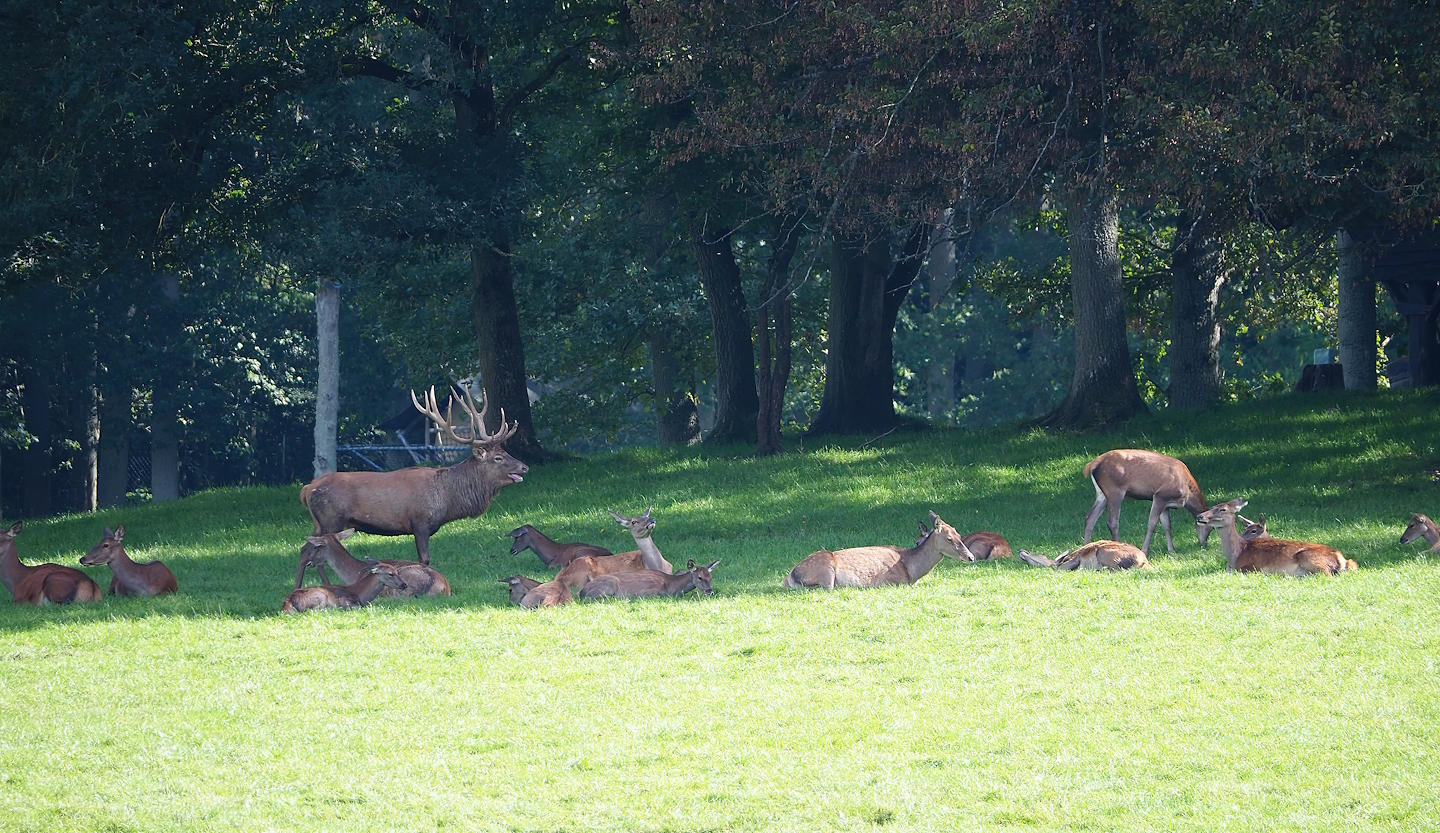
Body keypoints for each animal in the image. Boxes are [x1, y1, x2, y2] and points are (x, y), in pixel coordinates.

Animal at [300, 386, 528, 565]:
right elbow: (424, 559)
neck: (448, 499)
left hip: (319, 523)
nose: (524, 467)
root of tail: (307, 489)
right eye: (498, 458)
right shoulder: (420, 522)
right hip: (331, 519)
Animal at [578, 558, 720, 601]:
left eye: (710, 577)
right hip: (610, 583)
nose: (710, 591)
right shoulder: (647, 592)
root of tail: (581, 591)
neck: (670, 585)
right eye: (700, 577)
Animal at [784, 512, 976, 591]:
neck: (911, 571)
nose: (971, 557)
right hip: (825, 572)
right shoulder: (895, 582)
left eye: (959, 534)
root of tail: (791, 576)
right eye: (949, 538)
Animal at [1196, 499, 1355, 576]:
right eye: (1212, 507)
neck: (1236, 554)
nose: (1199, 516)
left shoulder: (1250, 567)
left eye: (1222, 509)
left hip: (1307, 557)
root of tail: (1341, 558)